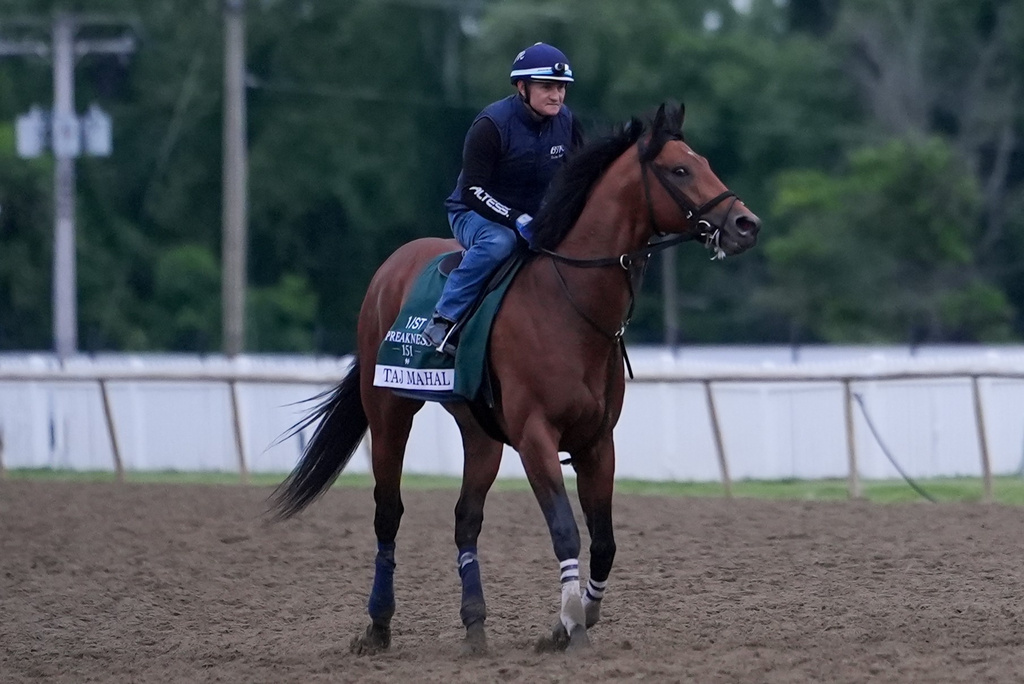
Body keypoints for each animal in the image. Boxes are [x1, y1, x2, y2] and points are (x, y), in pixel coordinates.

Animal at [270, 102, 761, 655]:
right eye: (679, 169)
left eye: (703, 162)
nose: (746, 223)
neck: (569, 306)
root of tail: (387, 271)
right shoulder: (535, 437)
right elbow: (566, 530)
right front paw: (571, 624)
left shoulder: (596, 442)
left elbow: (605, 541)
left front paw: (576, 618)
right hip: (390, 410)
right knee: (388, 511)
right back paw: (378, 625)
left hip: (480, 432)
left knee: (465, 519)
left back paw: (475, 624)